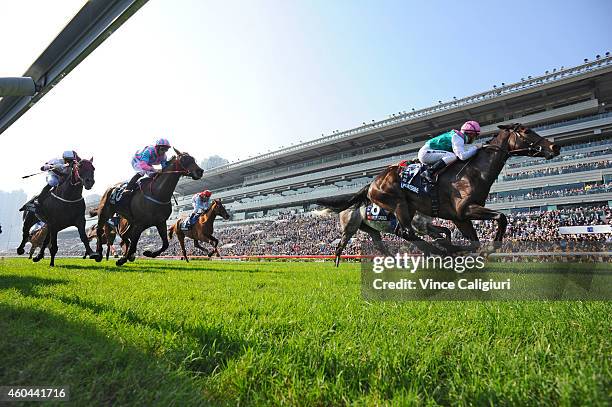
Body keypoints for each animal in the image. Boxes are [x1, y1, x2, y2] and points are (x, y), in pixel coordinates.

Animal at [334, 124, 560, 253]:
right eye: (527, 131)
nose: (554, 147)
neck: (475, 171)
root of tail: (372, 183)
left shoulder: (460, 218)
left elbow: (475, 241)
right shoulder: (465, 210)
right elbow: (502, 217)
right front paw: (490, 247)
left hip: (408, 209)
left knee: (403, 232)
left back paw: (443, 248)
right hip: (397, 204)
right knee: (407, 232)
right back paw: (440, 249)